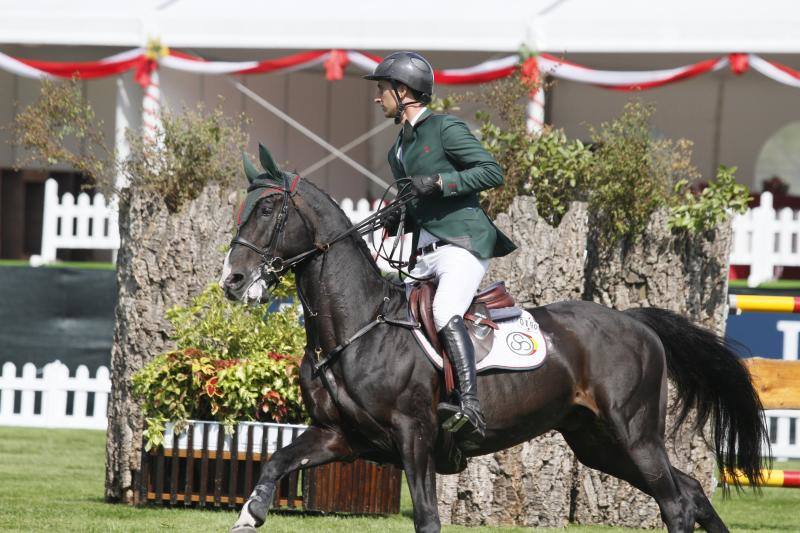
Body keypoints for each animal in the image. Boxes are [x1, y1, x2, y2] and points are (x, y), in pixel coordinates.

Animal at [220, 147, 768, 532]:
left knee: (675, 502)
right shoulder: (341, 435)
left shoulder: (414, 436)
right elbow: (275, 462)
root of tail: (635, 323)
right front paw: (251, 514)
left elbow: (428, 519)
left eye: (269, 210)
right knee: (690, 491)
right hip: (597, 441)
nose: (232, 280)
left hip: (633, 432)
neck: (357, 326)